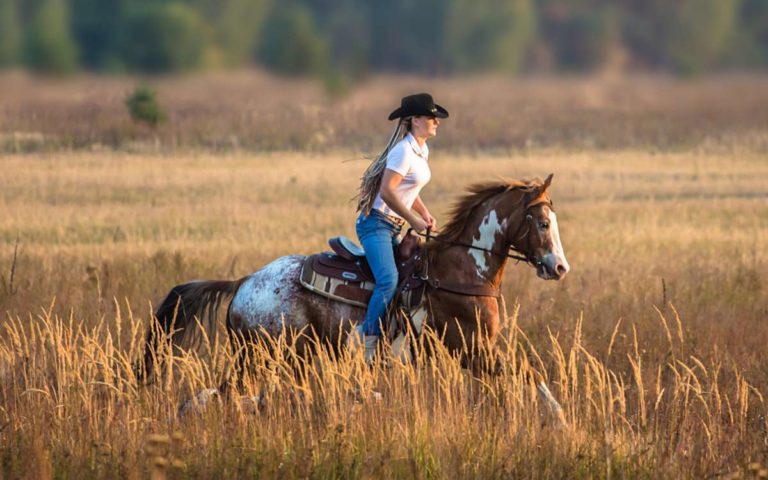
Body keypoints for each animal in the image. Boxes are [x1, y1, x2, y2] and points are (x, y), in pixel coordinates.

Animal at [140, 173, 568, 420]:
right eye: (543, 223)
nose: (559, 267)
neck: (460, 268)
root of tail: (245, 282)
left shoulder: (476, 352)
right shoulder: (473, 348)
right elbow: (529, 374)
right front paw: (560, 420)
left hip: (288, 357)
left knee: (251, 396)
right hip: (264, 355)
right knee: (233, 395)